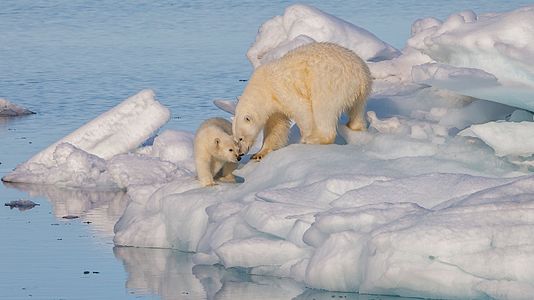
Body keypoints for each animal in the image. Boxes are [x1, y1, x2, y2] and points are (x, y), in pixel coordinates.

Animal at [234, 42, 372, 161]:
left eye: (240, 138)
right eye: (235, 139)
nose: (240, 153)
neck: (263, 87)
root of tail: (361, 76)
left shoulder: (281, 89)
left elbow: (302, 110)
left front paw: (306, 136)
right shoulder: (274, 106)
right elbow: (276, 127)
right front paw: (259, 154)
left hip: (330, 83)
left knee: (323, 110)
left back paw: (314, 139)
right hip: (359, 93)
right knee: (357, 110)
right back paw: (355, 127)